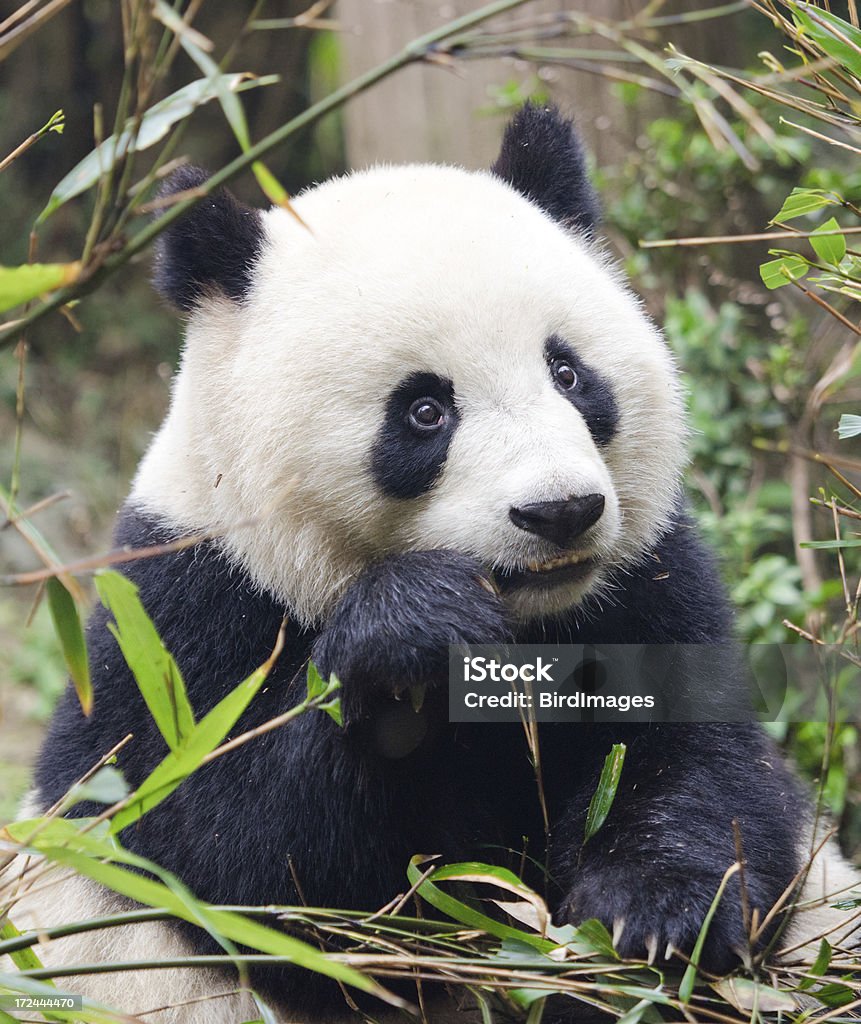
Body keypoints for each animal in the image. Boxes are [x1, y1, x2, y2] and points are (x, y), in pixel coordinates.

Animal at [8, 105, 859, 1024]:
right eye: (424, 410)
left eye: (568, 372)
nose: (559, 512)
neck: (526, 627)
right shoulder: (178, 611)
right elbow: (247, 867)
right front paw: (414, 628)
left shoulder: (645, 578)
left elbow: (704, 767)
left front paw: (654, 922)